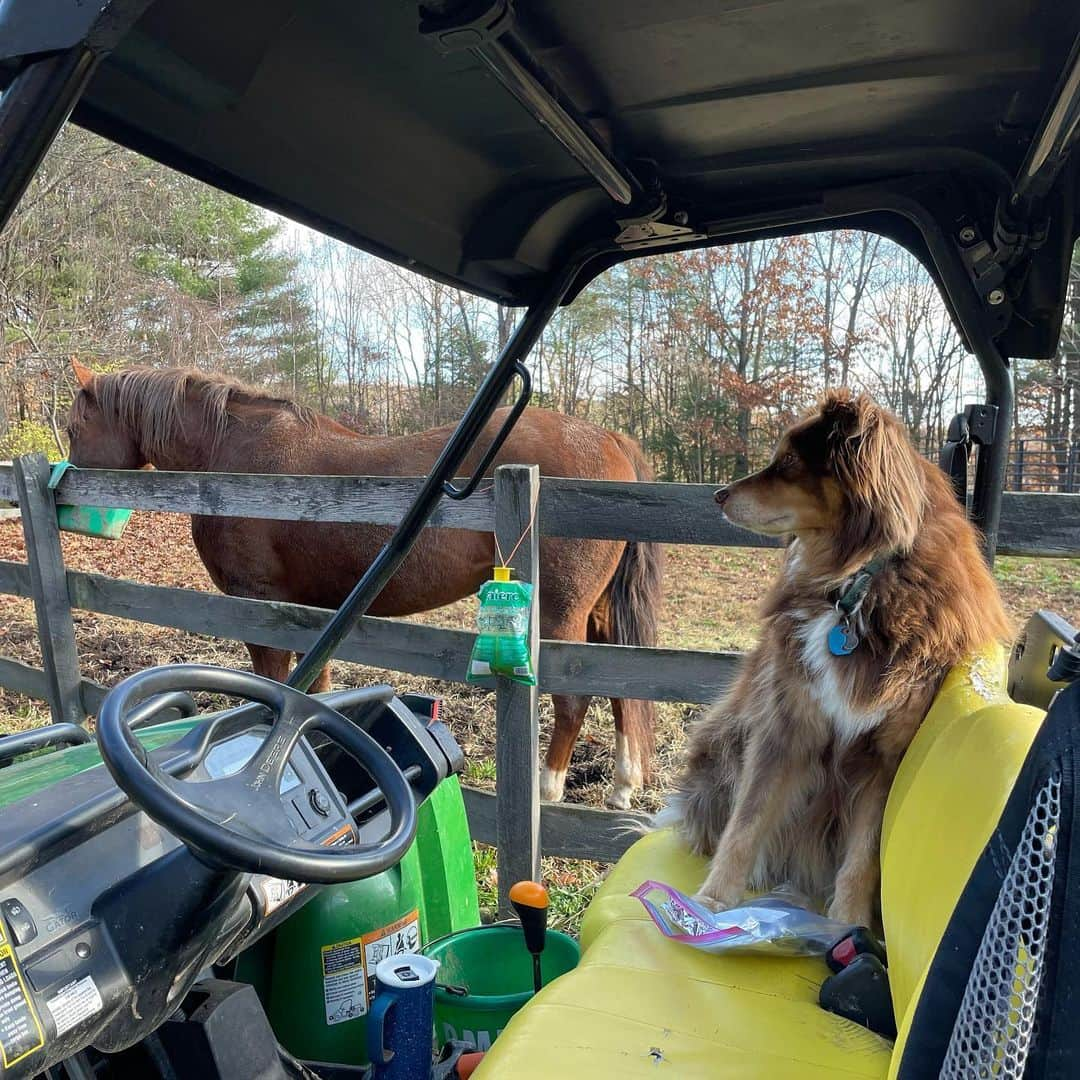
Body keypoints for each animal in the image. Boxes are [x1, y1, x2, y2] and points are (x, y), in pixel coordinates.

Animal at [67, 358, 660, 807]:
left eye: (75, 428)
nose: (70, 492)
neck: (234, 455)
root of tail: (608, 438)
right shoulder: (311, 611)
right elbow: (319, 689)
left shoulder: (260, 607)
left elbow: (276, 684)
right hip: (599, 613)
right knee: (620, 689)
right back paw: (622, 787)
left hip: (559, 611)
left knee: (574, 700)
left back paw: (548, 790)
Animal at [669, 393, 1006, 924]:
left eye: (788, 461)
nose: (718, 495)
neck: (856, 586)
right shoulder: (784, 726)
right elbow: (747, 822)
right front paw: (714, 902)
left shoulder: (885, 758)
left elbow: (863, 855)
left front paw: (847, 923)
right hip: (723, 742)